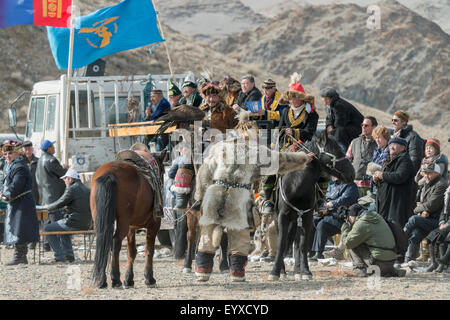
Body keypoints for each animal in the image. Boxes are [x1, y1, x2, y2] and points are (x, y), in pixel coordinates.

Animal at [89, 154, 165, 288]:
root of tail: (109, 173)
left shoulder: (131, 227)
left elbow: (131, 252)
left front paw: (129, 279)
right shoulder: (154, 224)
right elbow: (149, 250)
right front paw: (149, 278)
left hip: (100, 220)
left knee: (103, 241)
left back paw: (102, 280)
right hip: (123, 222)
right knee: (115, 242)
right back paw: (115, 279)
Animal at [268, 130, 356, 280]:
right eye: (336, 151)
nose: (352, 173)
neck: (297, 184)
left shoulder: (307, 217)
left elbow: (303, 245)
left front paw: (306, 271)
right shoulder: (282, 216)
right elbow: (281, 242)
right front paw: (275, 272)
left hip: (297, 219)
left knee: (296, 243)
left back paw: (297, 270)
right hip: (280, 216)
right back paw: (284, 271)